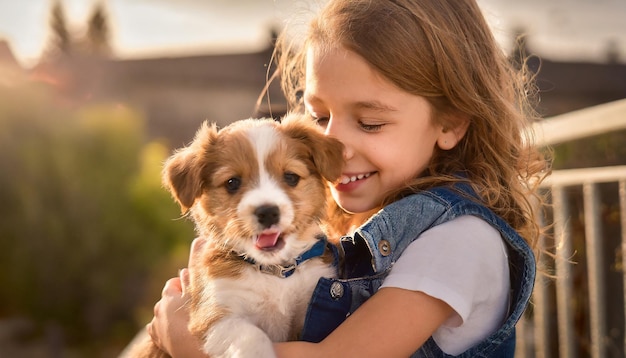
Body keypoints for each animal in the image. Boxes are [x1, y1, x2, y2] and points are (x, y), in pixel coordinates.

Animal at [126, 114, 342, 358]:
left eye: (291, 177)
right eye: (232, 182)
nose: (268, 212)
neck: (274, 272)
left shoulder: (311, 304)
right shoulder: (215, 314)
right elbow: (250, 336)